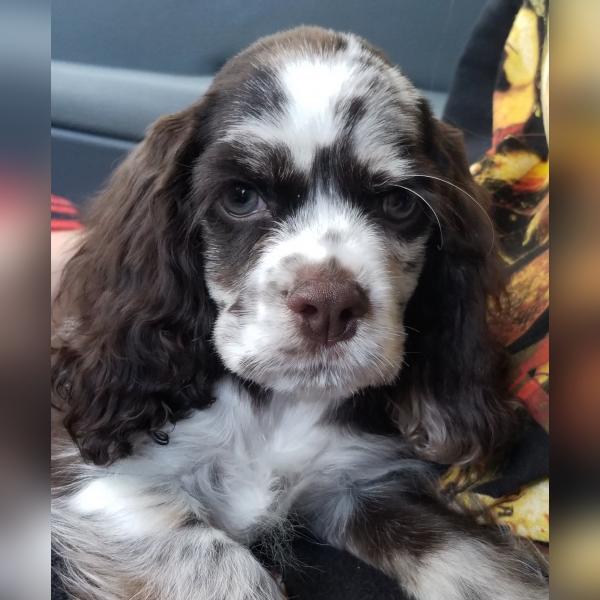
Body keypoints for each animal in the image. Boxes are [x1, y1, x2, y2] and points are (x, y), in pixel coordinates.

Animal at [51, 25, 548, 600]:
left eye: (399, 204)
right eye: (241, 196)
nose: (330, 305)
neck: (275, 409)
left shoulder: (361, 483)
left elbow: (471, 562)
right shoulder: (110, 484)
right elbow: (221, 567)